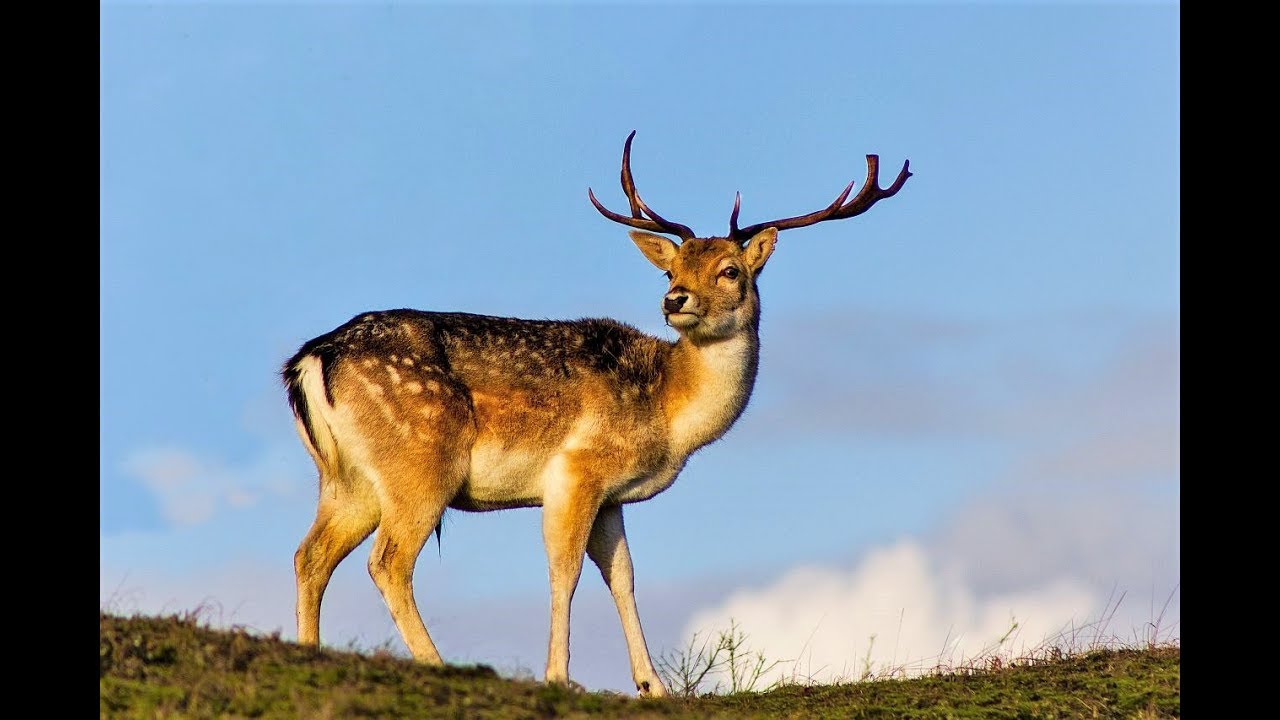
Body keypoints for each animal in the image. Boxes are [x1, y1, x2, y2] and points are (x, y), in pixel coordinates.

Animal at [281, 131, 910, 697]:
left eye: (731, 269)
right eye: (671, 270)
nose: (675, 299)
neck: (669, 415)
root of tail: (311, 359)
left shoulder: (612, 496)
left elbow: (623, 576)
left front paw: (653, 685)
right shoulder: (576, 470)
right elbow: (566, 572)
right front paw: (559, 675)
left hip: (348, 480)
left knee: (310, 555)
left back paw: (309, 652)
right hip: (421, 463)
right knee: (388, 562)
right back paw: (439, 664)